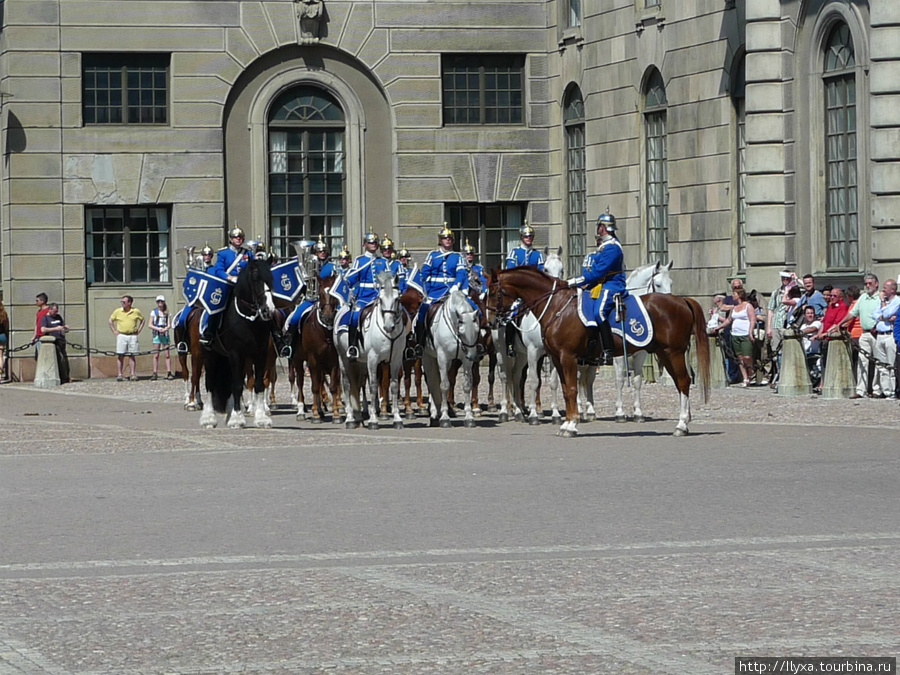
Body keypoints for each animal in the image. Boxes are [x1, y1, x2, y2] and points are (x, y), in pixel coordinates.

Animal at [199, 258, 276, 428]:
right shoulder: (236, 354)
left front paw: (261, 418)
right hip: (210, 355)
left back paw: (229, 413)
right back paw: (208, 418)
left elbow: (258, 384)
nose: (268, 311)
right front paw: (237, 419)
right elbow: (237, 385)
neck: (248, 320)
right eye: (256, 279)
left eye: (271, 279)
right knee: (210, 383)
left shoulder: (260, 354)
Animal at [334, 268, 408, 428]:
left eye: (397, 299)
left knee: (357, 383)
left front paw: (397, 418)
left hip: (360, 362)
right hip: (343, 358)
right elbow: (373, 386)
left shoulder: (396, 359)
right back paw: (350, 418)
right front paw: (373, 419)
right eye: (380, 299)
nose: (388, 326)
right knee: (347, 385)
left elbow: (394, 386)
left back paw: (358, 417)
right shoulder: (373, 359)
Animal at [424, 290, 486, 428]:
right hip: (429, 358)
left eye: (477, 330)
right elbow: (444, 386)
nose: (474, 356)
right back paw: (434, 414)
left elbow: (467, 385)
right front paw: (445, 417)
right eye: (461, 331)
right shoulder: (442, 358)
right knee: (431, 383)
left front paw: (469, 417)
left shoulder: (465, 361)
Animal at [488, 266, 708, 436]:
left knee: (683, 381)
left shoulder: (567, 356)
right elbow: (566, 389)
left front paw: (571, 424)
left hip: (673, 352)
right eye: (485, 293)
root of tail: (681, 300)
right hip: (665, 353)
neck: (557, 306)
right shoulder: (556, 357)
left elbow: (572, 388)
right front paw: (568, 422)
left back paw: (682, 425)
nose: (491, 322)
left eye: (492, 292)